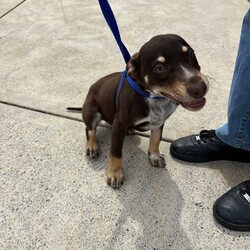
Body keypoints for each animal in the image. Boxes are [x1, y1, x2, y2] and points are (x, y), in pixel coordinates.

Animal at [69, 34, 209, 188]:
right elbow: (116, 152)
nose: (200, 88)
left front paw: (154, 156)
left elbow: (156, 138)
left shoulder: (159, 121)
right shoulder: (119, 124)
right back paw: (92, 146)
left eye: (190, 54)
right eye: (159, 68)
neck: (153, 96)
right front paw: (115, 174)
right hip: (92, 110)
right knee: (90, 129)